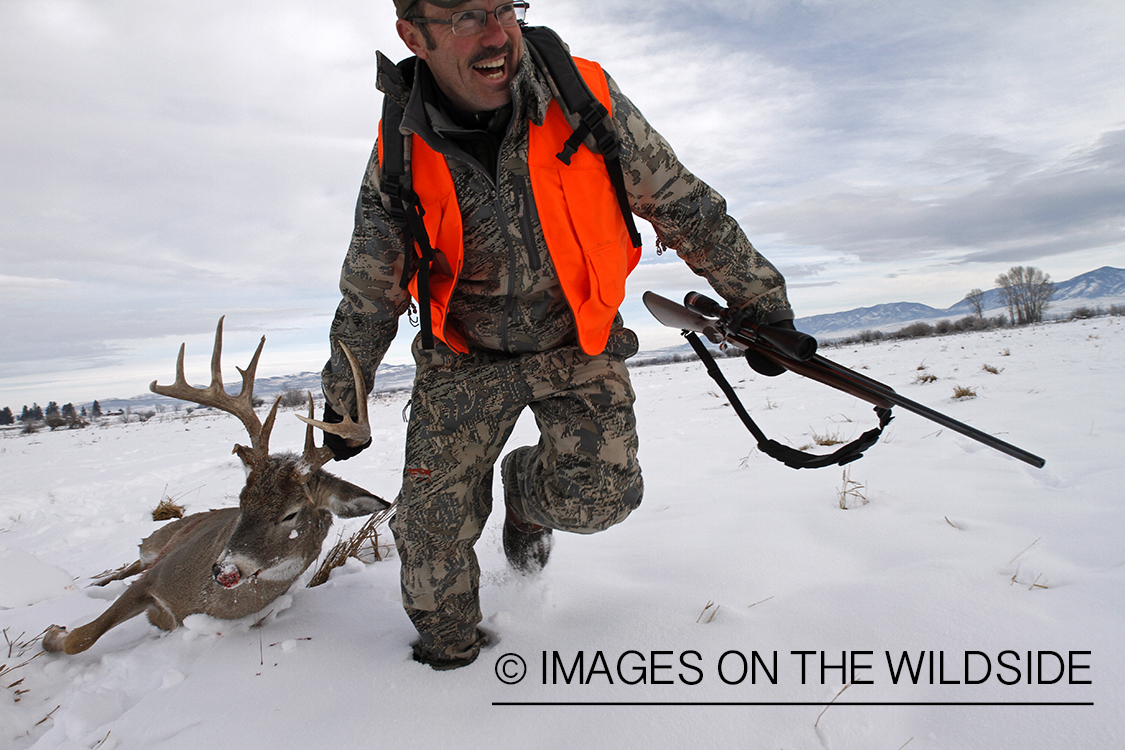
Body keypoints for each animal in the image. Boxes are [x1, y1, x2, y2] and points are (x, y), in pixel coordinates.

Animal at [44, 318, 390, 655]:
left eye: (291, 513)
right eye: (241, 501)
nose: (225, 570)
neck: (201, 602)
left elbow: (84, 638)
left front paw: (54, 632)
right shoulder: (155, 576)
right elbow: (82, 638)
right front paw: (53, 632)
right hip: (157, 542)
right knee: (130, 565)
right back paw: (95, 585)